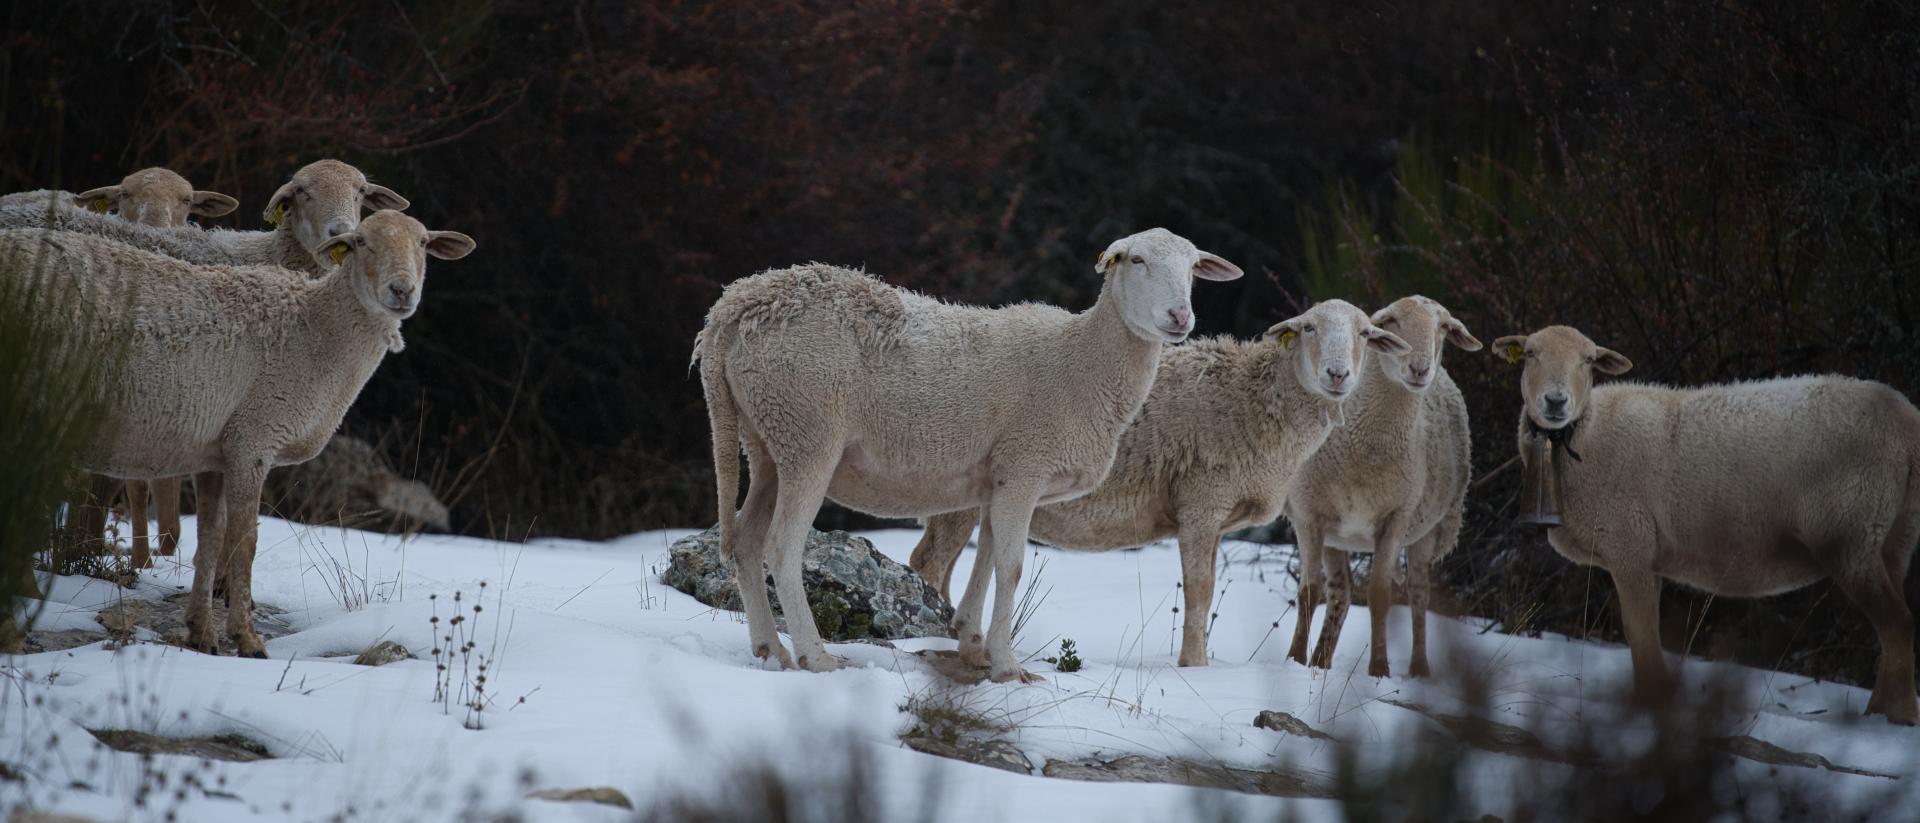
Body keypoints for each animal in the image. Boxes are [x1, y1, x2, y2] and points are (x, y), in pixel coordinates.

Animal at [0, 210, 476, 656]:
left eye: (423, 243)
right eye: (361, 243)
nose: (401, 291)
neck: (316, 333)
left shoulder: (214, 451)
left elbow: (210, 540)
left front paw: (202, 633)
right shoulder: (254, 438)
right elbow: (244, 542)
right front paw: (246, 638)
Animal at [695, 227, 1244, 675]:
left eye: (1193, 268)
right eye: (1136, 260)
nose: (1179, 316)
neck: (1082, 361)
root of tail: (732, 309)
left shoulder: (997, 478)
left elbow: (986, 563)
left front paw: (973, 645)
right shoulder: (1026, 467)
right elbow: (1012, 567)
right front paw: (1006, 665)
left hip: (765, 438)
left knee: (746, 542)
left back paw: (771, 650)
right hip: (807, 431)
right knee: (782, 547)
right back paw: (815, 656)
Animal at [898, 297, 1413, 663]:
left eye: (1365, 334)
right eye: (1309, 328)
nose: (1337, 375)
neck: (1255, 399)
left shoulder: (1217, 518)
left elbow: (1206, 589)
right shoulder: (1202, 503)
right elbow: (1200, 589)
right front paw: (1193, 666)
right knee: (927, 563)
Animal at [1282, 293, 1474, 675]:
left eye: (1444, 327)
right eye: (1391, 322)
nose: (1419, 369)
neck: (1368, 445)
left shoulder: (1396, 518)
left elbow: (1380, 595)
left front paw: (1380, 669)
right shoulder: (1309, 513)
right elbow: (1309, 591)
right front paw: (1294, 660)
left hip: (1430, 529)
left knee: (1418, 592)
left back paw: (1419, 668)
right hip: (1334, 533)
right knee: (1339, 591)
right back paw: (1320, 661)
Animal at [1489, 324, 1920, 721]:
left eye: (1588, 361)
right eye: (1530, 354)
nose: (1556, 401)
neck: (1589, 432)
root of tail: (1907, 419)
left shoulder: (1630, 547)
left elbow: (1640, 632)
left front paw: (1650, 701)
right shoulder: (1644, 555)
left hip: (1851, 532)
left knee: (1899, 625)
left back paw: (1891, 718)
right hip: (1893, 535)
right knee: (1894, 628)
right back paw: (1885, 712)